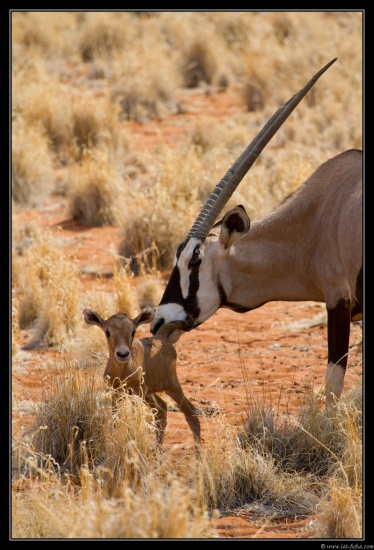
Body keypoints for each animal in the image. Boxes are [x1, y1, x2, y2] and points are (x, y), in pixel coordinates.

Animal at [83, 308, 202, 450]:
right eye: (107, 332)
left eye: (133, 331)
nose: (122, 354)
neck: (123, 373)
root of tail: (161, 339)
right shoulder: (118, 392)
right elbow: (115, 420)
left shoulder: (137, 393)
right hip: (149, 394)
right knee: (162, 409)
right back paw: (157, 451)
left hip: (172, 387)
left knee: (191, 413)